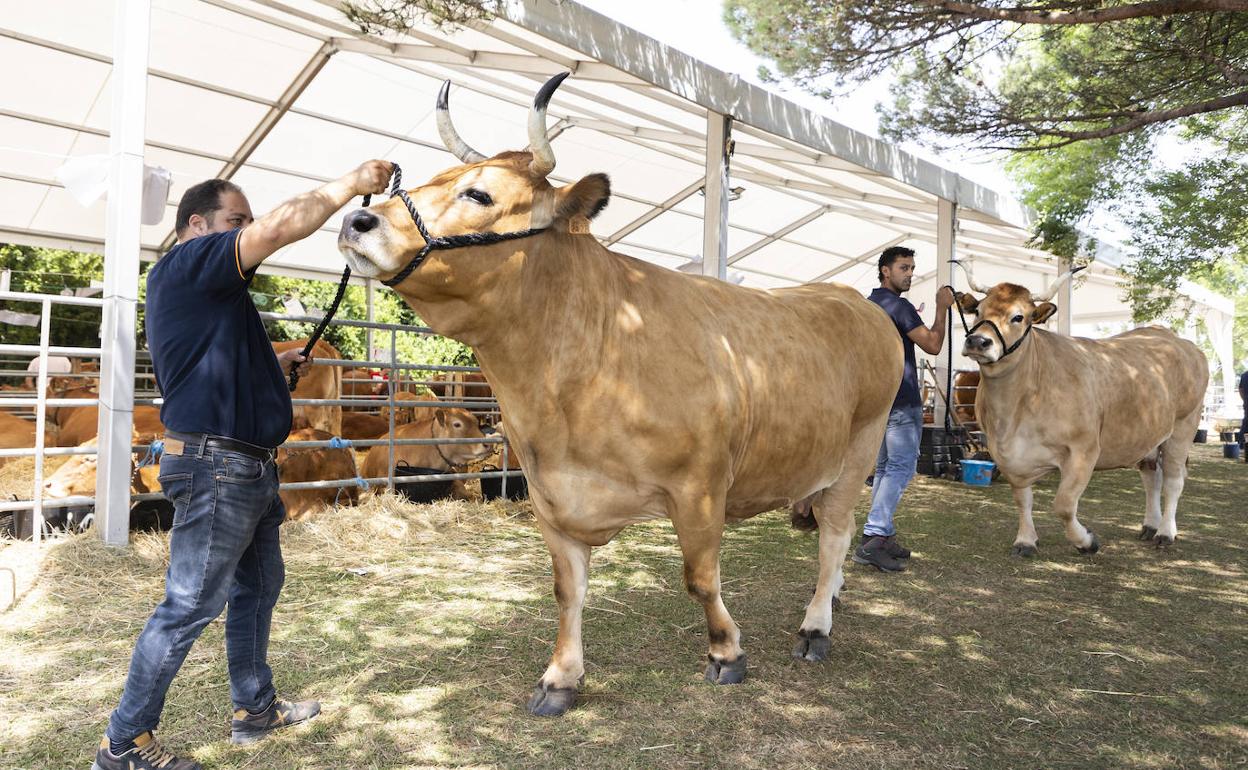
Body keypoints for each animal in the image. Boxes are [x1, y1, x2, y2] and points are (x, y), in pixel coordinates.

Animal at [336, 75, 903, 718]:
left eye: (479, 194)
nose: (356, 220)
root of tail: (851, 298)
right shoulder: (550, 496)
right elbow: (567, 591)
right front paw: (561, 677)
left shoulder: (700, 487)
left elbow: (700, 578)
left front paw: (726, 652)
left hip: (859, 450)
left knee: (835, 536)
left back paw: (816, 626)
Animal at [953, 260, 1208, 556]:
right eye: (978, 311)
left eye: (1019, 317)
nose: (978, 341)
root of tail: (1178, 341)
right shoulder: (1008, 455)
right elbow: (1022, 499)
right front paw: (1026, 540)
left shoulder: (1083, 450)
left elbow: (1063, 505)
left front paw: (1086, 541)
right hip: (1149, 437)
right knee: (1151, 479)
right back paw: (1150, 525)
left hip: (1183, 428)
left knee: (1173, 480)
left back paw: (1166, 532)